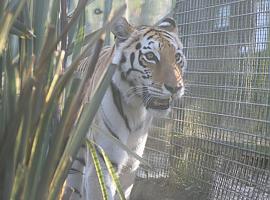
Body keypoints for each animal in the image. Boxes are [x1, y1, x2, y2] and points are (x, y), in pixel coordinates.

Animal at [61, 16, 187, 199]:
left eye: (177, 57)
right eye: (150, 56)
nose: (176, 88)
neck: (137, 109)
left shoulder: (131, 164)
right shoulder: (104, 159)